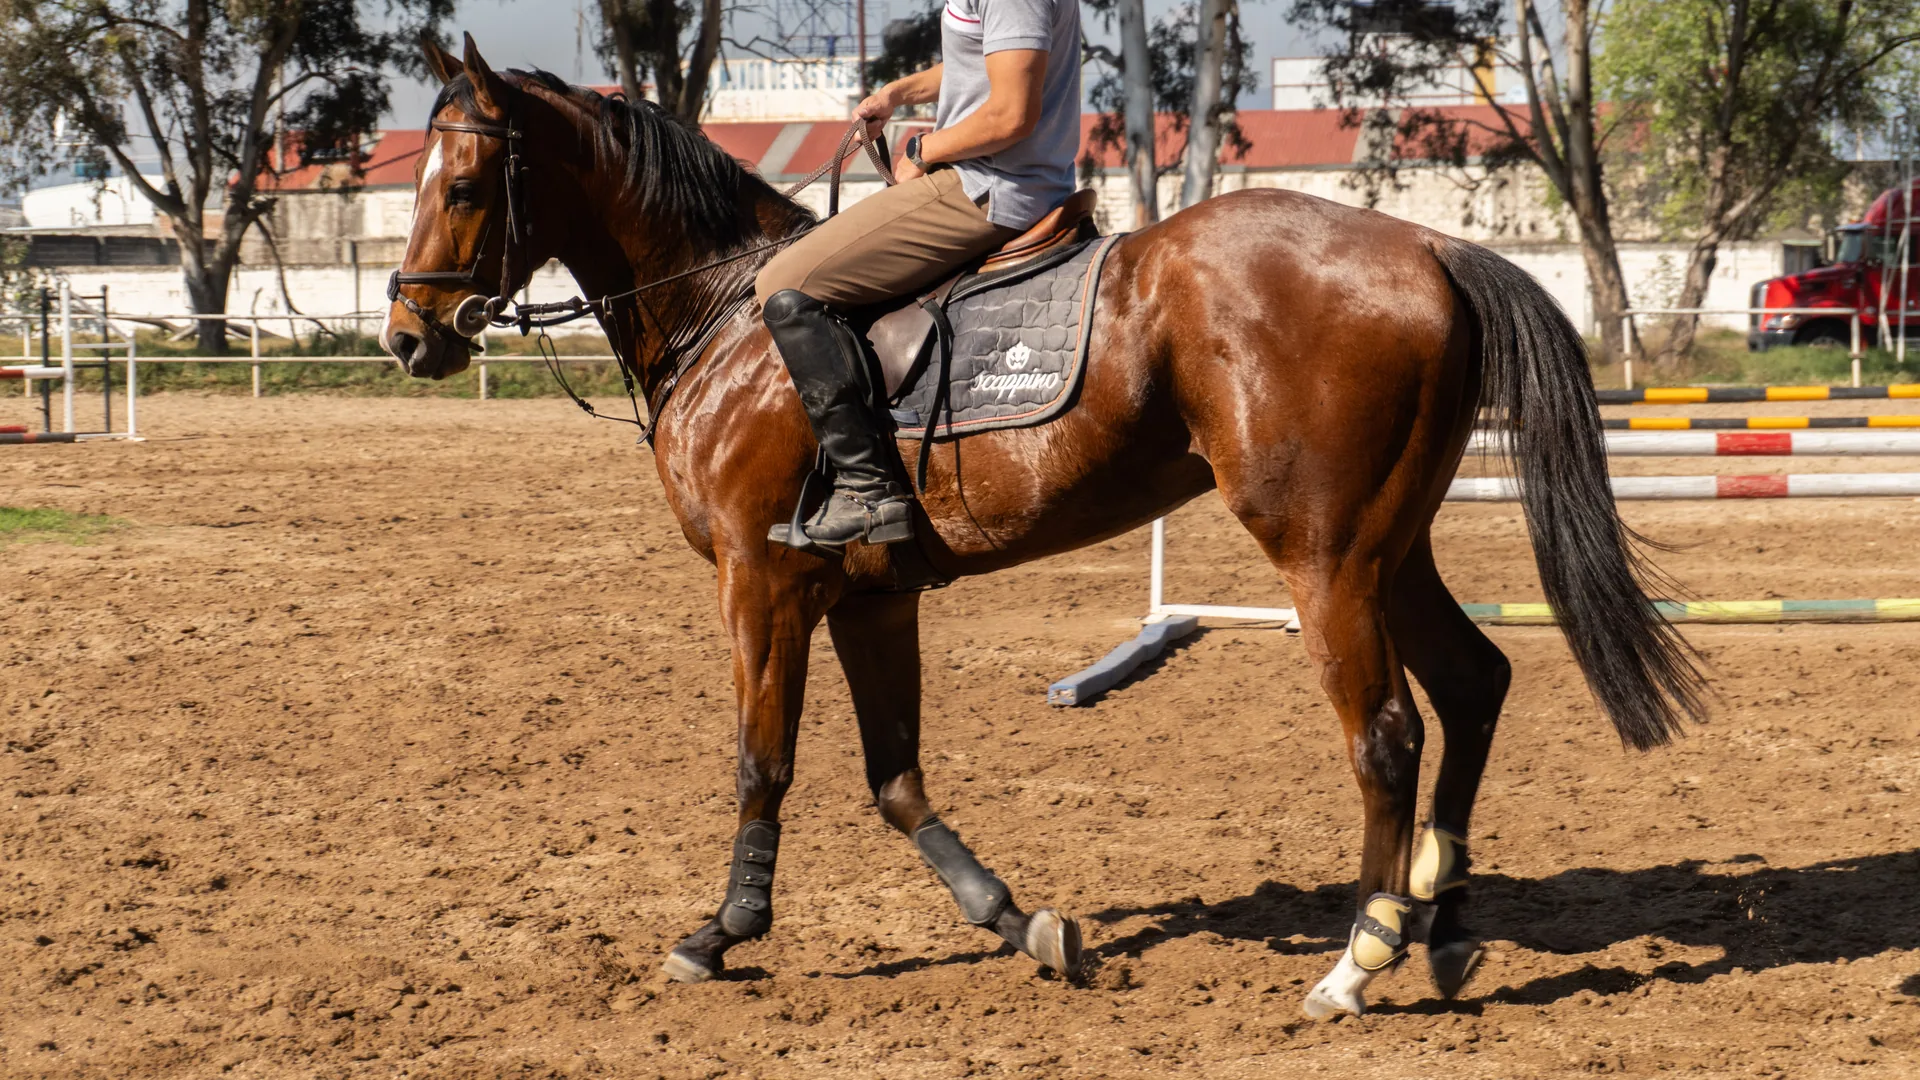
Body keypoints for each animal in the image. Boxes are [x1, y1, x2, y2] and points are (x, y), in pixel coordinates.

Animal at [383, 36, 1705, 1019]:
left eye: (463, 188)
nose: (408, 338)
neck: (729, 313)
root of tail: (1428, 245)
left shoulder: (761, 584)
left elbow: (765, 760)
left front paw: (721, 933)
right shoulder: (869, 598)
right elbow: (897, 780)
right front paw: (1023, 926)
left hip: (1325, 557)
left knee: (1386, 735)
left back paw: (1356, 963)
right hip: (1393, 546)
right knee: (1475, 684)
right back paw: (1445, 924)